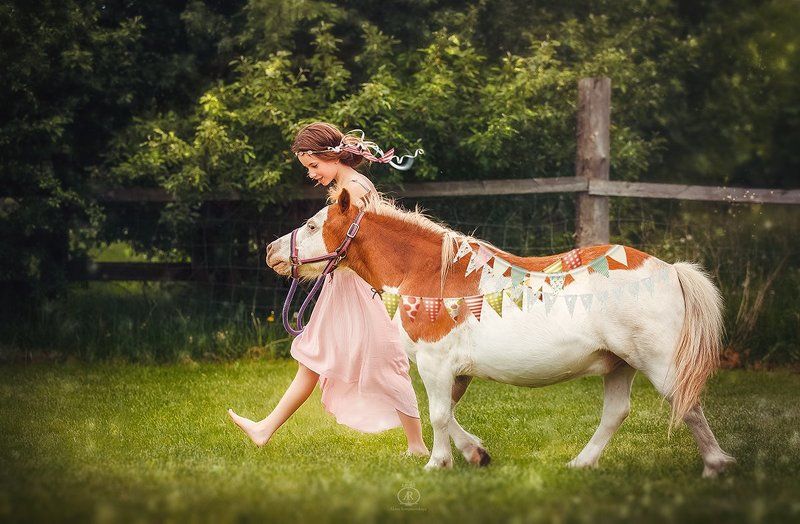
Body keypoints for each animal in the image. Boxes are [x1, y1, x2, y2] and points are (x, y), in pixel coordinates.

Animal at [266, 187, 736, 477]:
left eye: (313, 225)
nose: (271, 251)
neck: (429, 273)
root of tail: (670, 269)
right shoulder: (454, 372)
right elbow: (448, 414)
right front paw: (474, 453)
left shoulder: (435, 363)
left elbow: (437, 415)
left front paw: (437, 464)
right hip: (618, 365)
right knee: (615, 414)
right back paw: (581, 463)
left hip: (658, 362)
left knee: (687, 405)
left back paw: (715, 464)